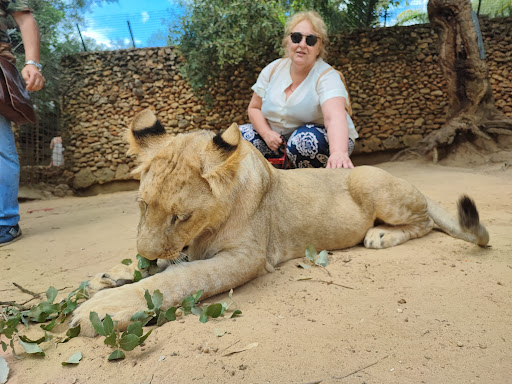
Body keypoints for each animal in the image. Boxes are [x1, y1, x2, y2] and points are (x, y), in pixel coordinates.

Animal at [71, 110, 488, 336]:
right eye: (142, 206)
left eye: (181, 216)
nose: (149, 255)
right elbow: (148, 264)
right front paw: (106, 277)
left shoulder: (248, 258)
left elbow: (184, 277)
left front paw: (107, 306)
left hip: (370, 182)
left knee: (425, 222)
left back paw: (380, 235)